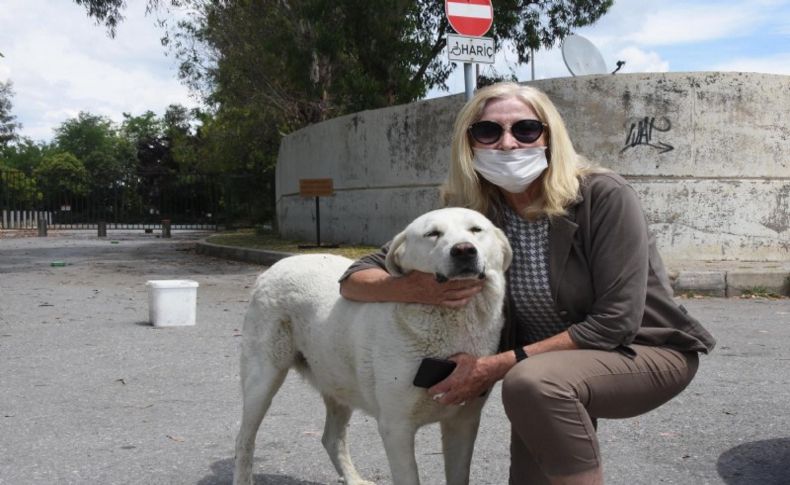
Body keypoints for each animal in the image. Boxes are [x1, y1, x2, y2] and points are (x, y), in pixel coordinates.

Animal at [234, 206, 512, 482]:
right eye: (432, 234)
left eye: (476, 229)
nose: (464, 250)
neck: (453, 322)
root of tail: (276, 266)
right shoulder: (396, 427)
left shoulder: (464, 421)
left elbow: (459, 473)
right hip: (263, 378)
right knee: (243, 440)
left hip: (337, 378)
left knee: (330, 438)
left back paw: (353, 478)